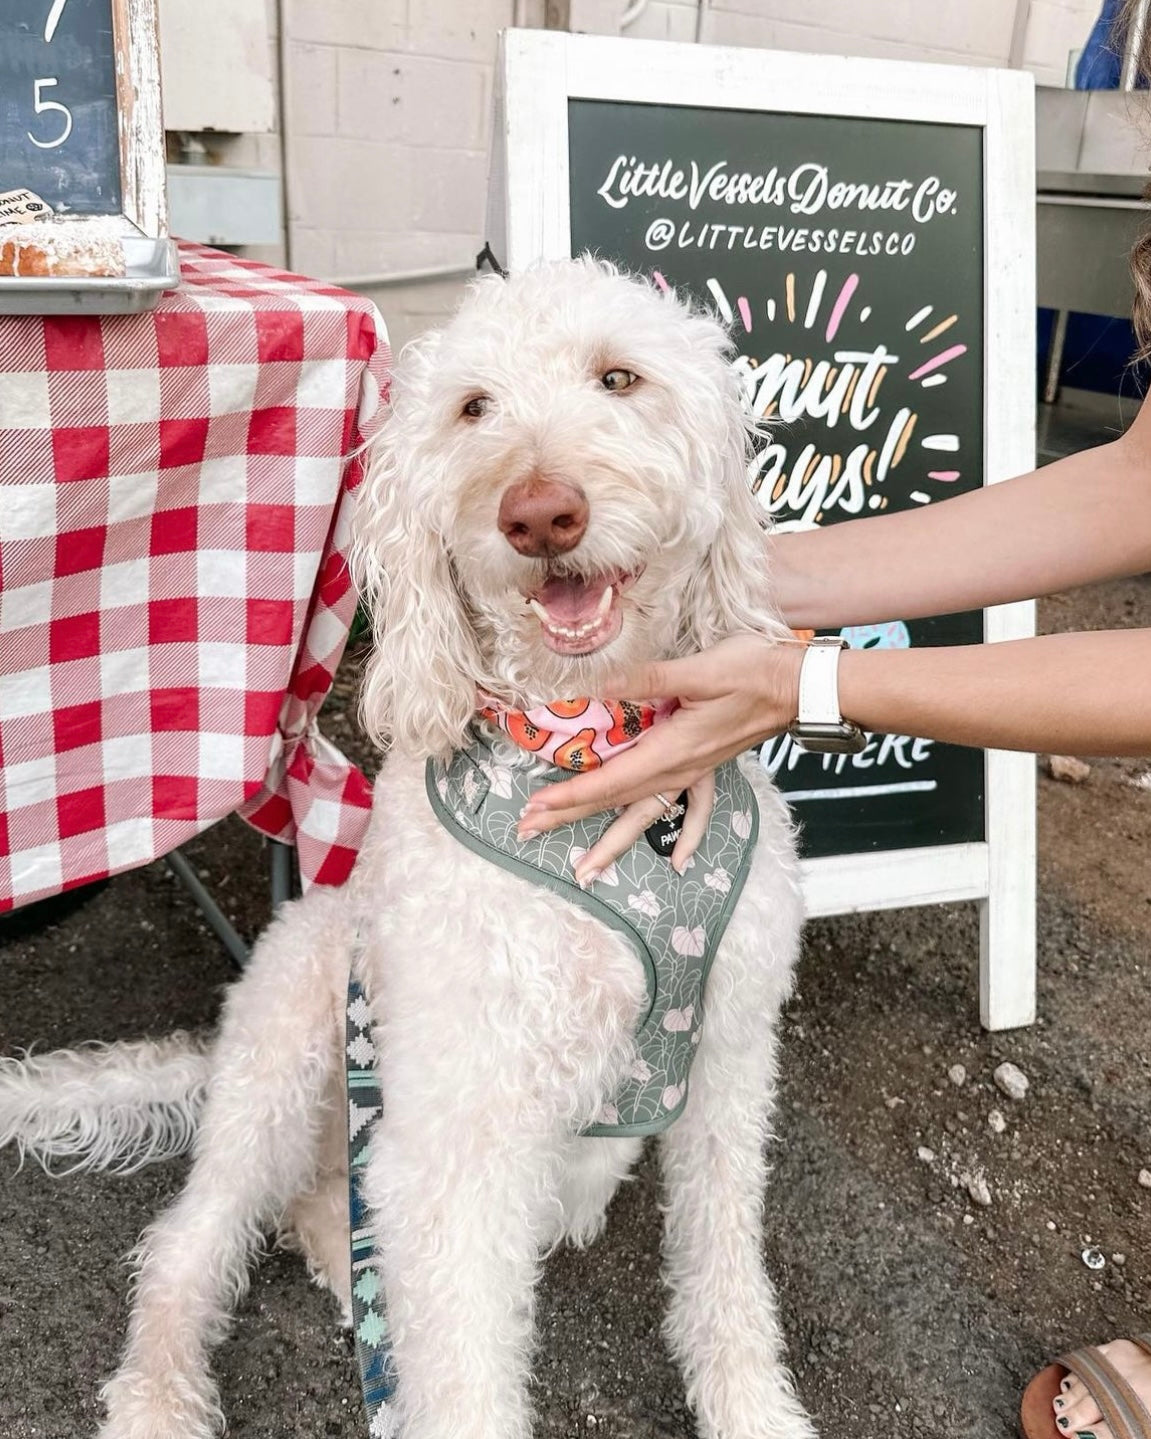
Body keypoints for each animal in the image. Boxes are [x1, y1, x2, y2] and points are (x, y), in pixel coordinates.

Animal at [0, 261, 811, 1439]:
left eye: (619, 377)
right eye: (472, 408)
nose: (539, 513)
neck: (588, 749)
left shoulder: (729, 1055)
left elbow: (724, 1268)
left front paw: (753, 1407)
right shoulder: (463, 1128)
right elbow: (463, 1370)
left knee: (341, 1202)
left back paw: (345, 1252)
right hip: (290, 1044)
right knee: (190, 1244)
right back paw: (159, 1393)